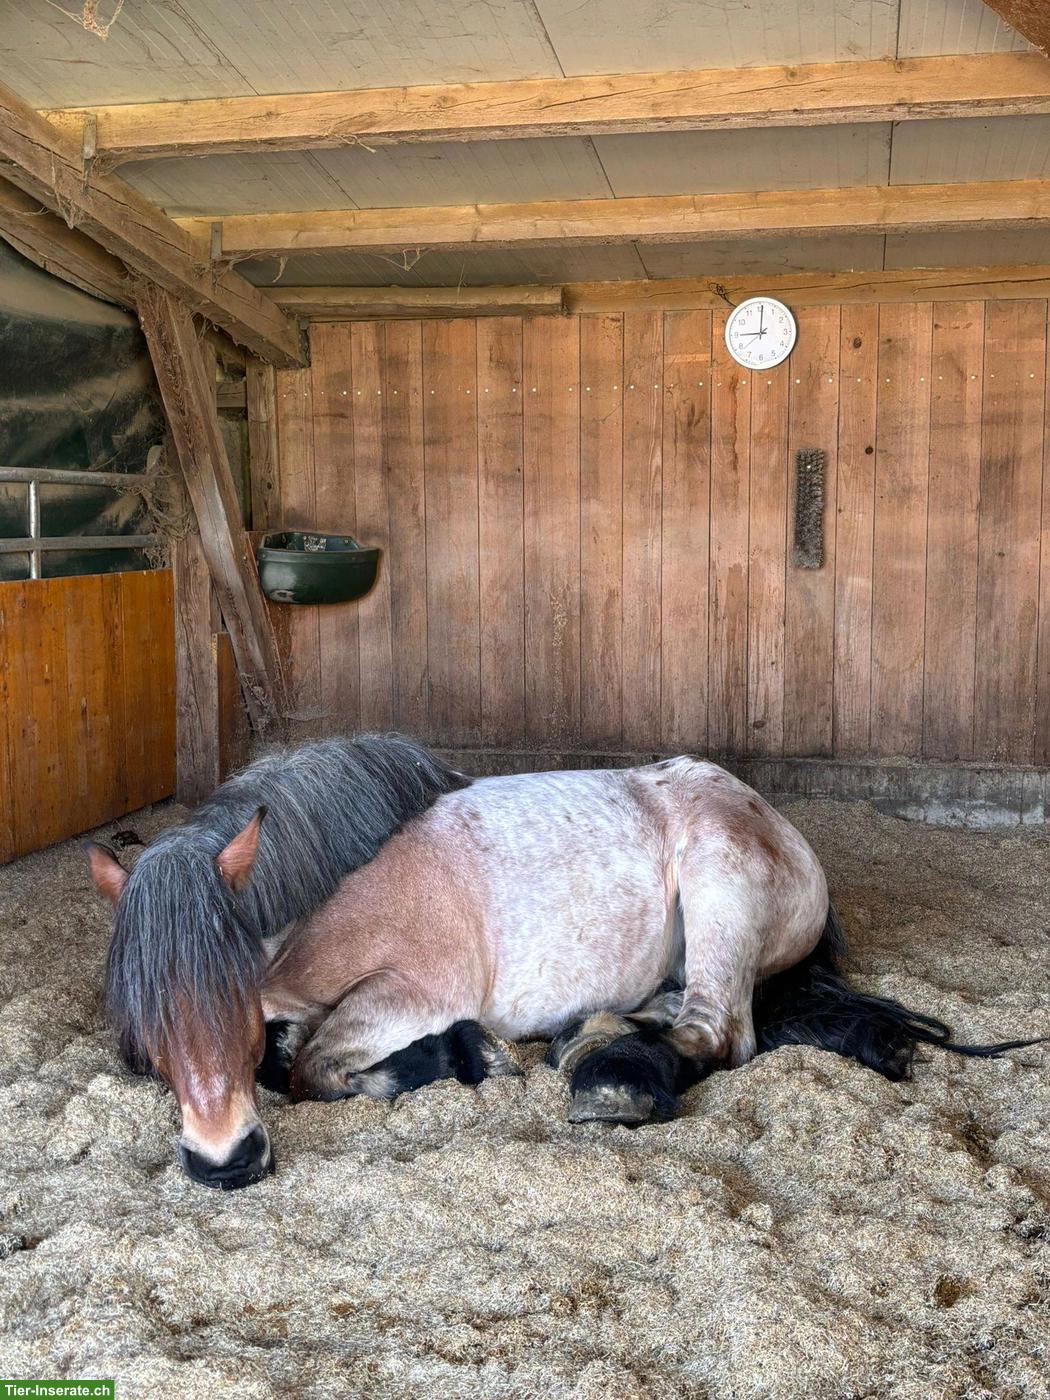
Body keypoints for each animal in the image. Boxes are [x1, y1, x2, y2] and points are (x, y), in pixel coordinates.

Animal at [87, 735, 1043, 1189]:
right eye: (146, 1024)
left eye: (232, 994)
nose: (224, 1161)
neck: (338, 883)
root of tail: (777, 822)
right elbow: (289, 1056)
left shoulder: (410, 991)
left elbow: (314, 1068)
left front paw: (457, 1058)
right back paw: (600, 1029)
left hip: (719, 888)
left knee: (721, 1031)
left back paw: (612, 1074)